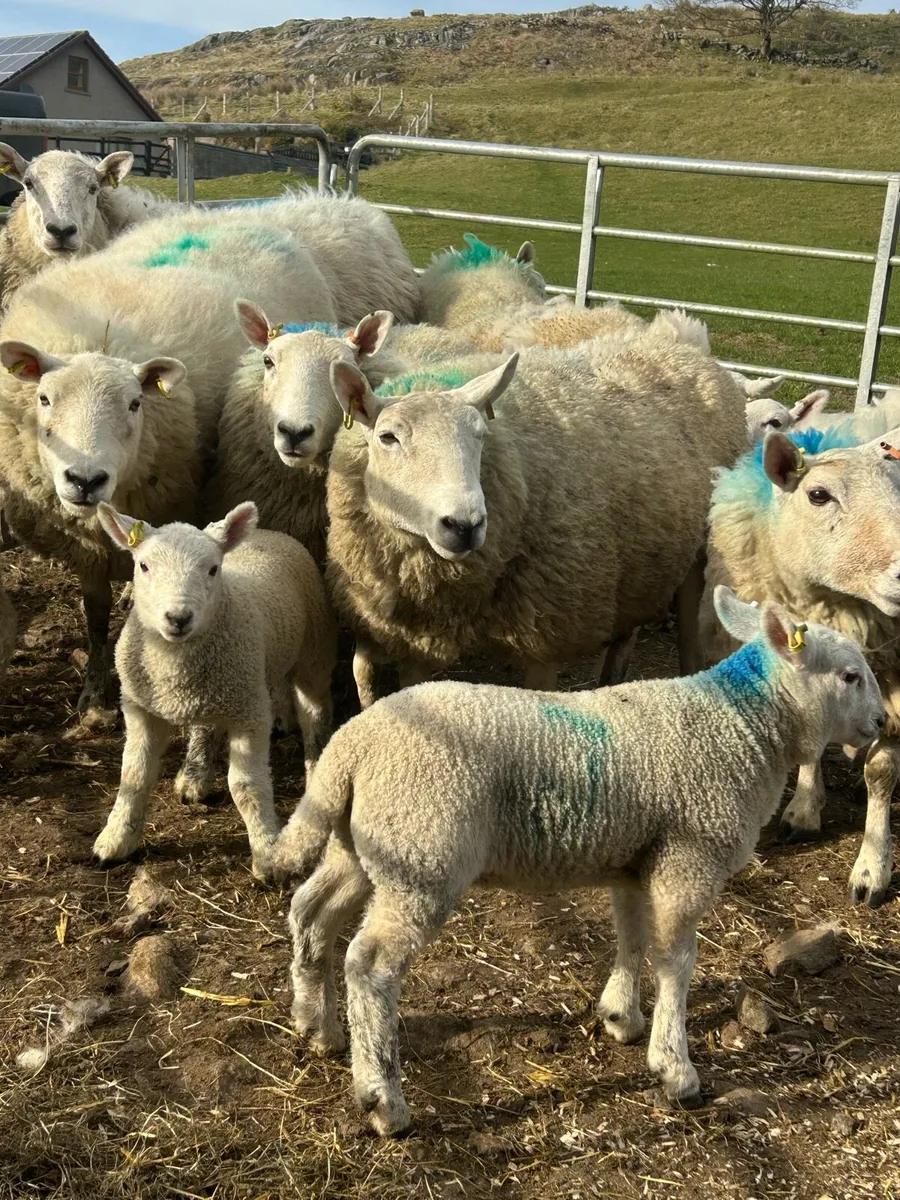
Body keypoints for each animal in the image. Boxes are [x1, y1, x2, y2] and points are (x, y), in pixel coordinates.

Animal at [0, 202, 339, 711]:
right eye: (43, 398)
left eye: (134, 403)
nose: (85, 480)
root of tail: (239, 215)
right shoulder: (86, 547)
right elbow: (95, 616)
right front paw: (93, 691)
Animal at [94, 501, 336, 880]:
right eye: (143, 566)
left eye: (212, 569)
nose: (178, 618)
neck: (174, 667)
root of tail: (267, 531)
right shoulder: (139, 708)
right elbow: (134, 776)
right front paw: (116, 839)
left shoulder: (250, 714)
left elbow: (246, 786)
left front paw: (267, 854)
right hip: (227, 686)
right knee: (207, 724)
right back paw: (195, 775)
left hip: (313, 650)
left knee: (315, 710)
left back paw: (314, 766)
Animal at [271, 586, 884, 1135]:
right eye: (849, 675)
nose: (882, 723)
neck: (742, 723)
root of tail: (351, 747)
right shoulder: (689, 858)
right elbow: (676, 961)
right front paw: (675, 1068)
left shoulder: (635, 860)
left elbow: (632, 937)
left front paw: (621, 1017)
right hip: (421, 856)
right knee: (369, 966)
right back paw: (382, 1099)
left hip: (367, 846)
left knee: (311, 911)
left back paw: (317, 1026)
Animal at [325, 330, 747, 707]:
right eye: (388, 437)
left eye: (481, 434)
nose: (465, 525)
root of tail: (684, 350)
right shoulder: (415, 638)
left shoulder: (547, 630)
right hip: (641, 557)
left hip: (700, 558)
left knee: (691, 641)